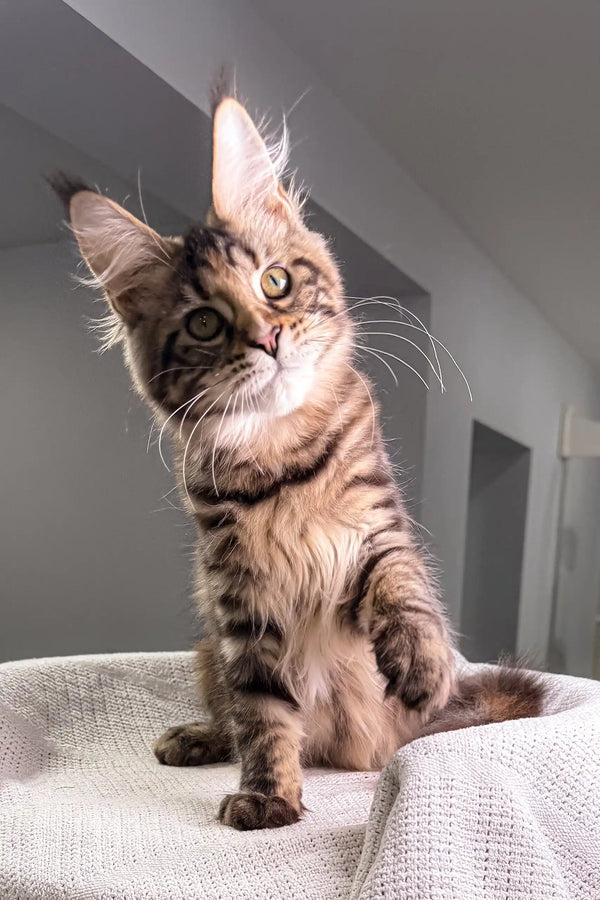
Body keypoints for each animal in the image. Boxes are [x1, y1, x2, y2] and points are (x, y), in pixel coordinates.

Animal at [51, 89, 548, 828]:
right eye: (204, 323)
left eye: (276, 282)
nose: (269, 338)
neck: (281, 457)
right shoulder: (240, 602)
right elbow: (262, 712)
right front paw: (269, 796)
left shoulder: (373, 527)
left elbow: (399, 585)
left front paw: (420, 661)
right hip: (209, 649)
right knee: (231, 714)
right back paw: (198, 737)